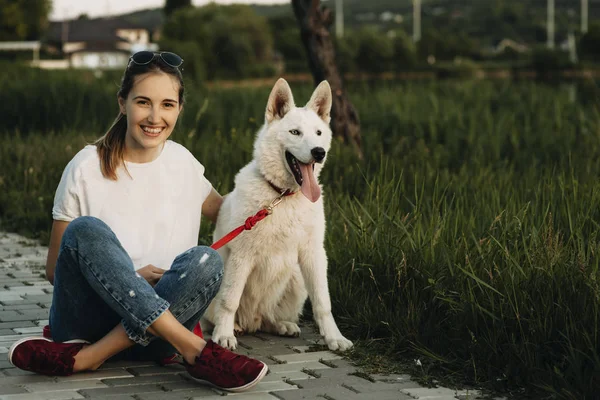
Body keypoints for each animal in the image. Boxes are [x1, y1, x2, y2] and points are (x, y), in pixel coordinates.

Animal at [203, 77, 352, 350]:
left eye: (318, 133)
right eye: (295, 132)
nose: (319, 152)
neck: (281, 196)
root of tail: (251, 321)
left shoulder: (314, 254)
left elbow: (323, 303)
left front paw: (334, 338)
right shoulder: (241, 256)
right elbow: (229, 301)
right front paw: (224, 334)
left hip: (297, 280)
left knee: (267, 319)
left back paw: (281, 325)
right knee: (214, 315)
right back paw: (231, 328)